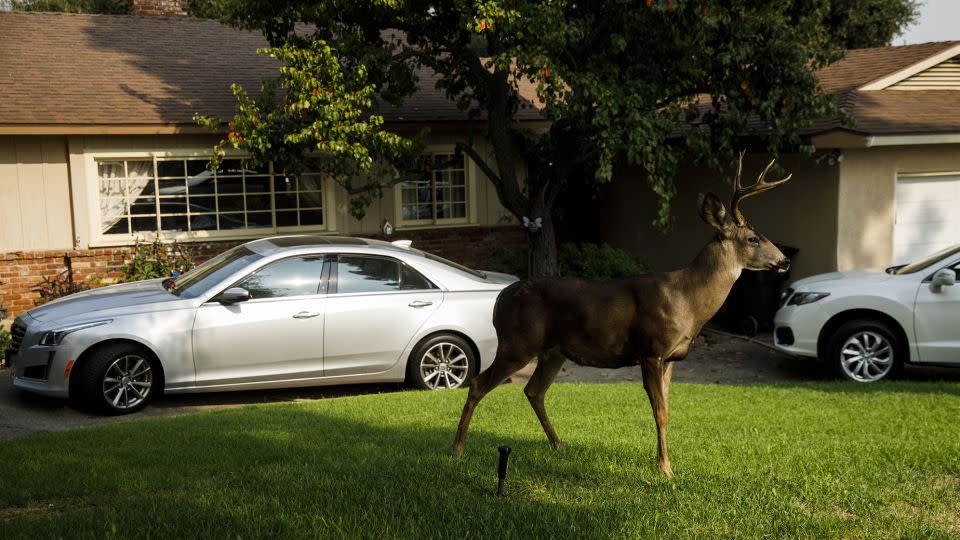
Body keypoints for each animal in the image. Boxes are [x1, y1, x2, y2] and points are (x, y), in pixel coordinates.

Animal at [454, 156, 792, 476]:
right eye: (753, 238)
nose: (785, 261)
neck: (687, 299)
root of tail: (499, 299)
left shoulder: (671, 358)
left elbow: (667, 410)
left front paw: (664, 462)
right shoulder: (651, 351)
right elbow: (659, 412)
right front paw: (665, 468)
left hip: (553, 351)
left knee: (533, 391)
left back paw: (559, 445)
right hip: (517, 343)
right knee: (479, 383)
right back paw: (457, 447)